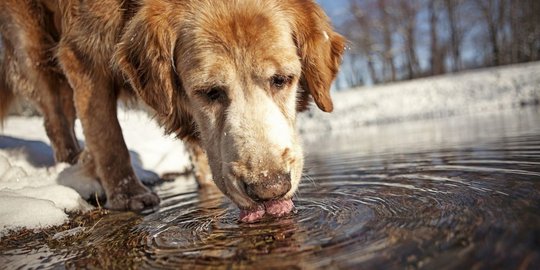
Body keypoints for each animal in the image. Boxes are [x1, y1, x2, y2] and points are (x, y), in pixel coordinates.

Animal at [0, 0, 344, 223]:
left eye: (282, 80)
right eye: (210, 92)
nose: (269, 189)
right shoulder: (82, 52)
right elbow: (108, 136)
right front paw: (129, 195)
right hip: (34, 43)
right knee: (56, 118)